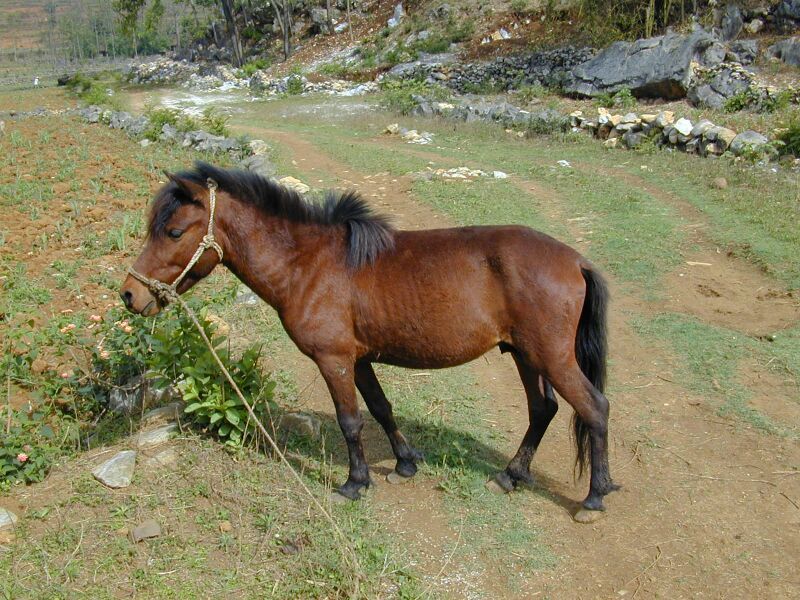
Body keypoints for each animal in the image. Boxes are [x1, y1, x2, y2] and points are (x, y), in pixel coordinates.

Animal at [119, 161, 619, 523]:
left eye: (174, 231)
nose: (129, 295)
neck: (308, 265)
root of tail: (576, 261)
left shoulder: (334, 360)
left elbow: (350, 421)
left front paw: (355, 483)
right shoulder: (359, 359)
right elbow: (380, 408)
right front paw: (404, 464)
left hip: (551, 357)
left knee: (594, 409)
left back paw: (593, 499)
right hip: (525, 355)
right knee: (543, 409)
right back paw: (512, 475)